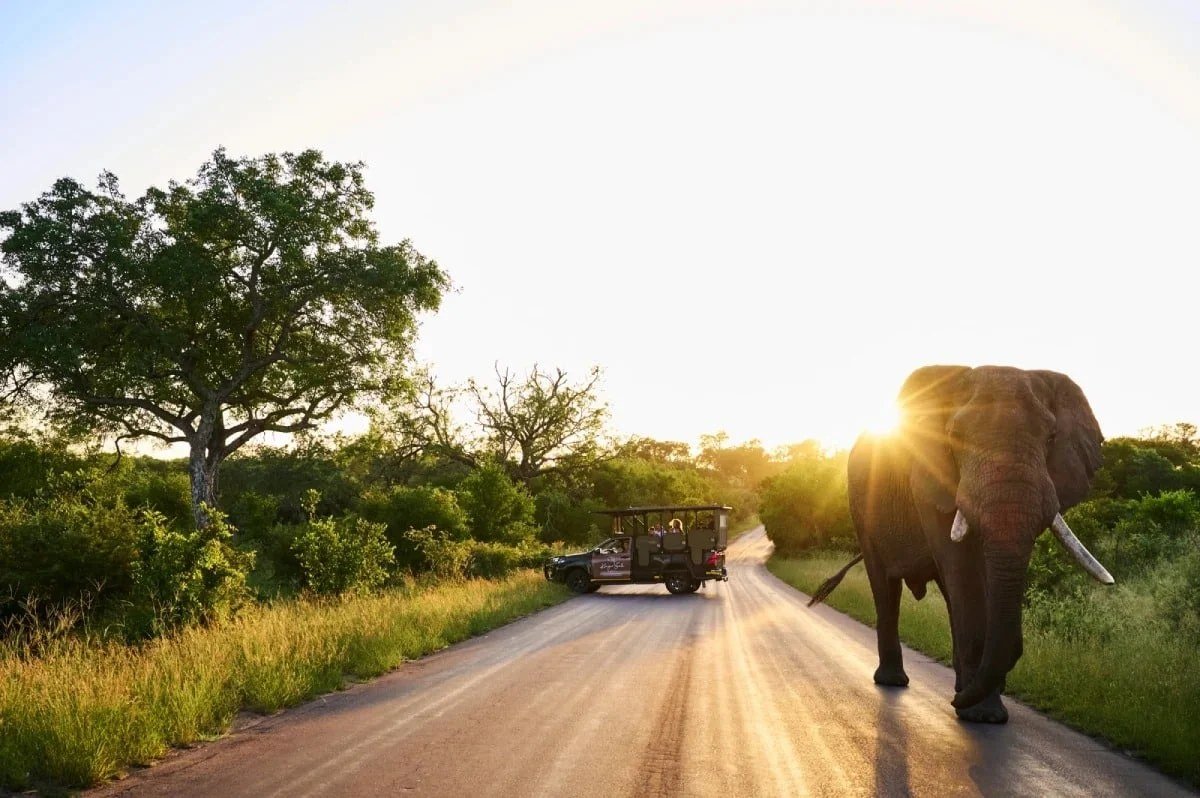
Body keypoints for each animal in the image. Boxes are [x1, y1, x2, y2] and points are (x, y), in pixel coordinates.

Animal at [810, 365, 1114, 723]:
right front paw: (981, 715)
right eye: (955, 437)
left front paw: (981, 708)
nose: (955, 702)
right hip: (861, 511)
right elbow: (962, 566)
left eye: (1051, 438)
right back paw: (895, 682)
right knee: (886, 587)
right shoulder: (928, 480)